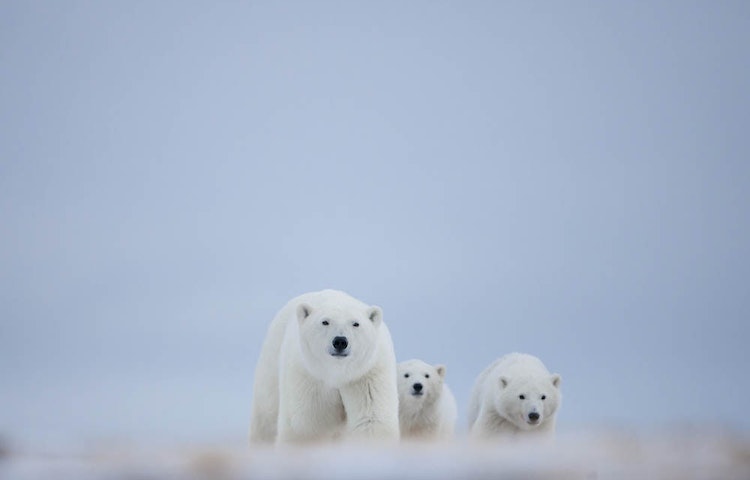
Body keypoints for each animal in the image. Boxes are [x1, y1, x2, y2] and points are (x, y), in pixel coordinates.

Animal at [249, 289, 400, 444]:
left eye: (356, 323)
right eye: (325, 322)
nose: (340, 341)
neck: (337, 373)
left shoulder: (367, 374)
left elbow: (371, 420)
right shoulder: (308, 376)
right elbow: (308, 424)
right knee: (266, 417)